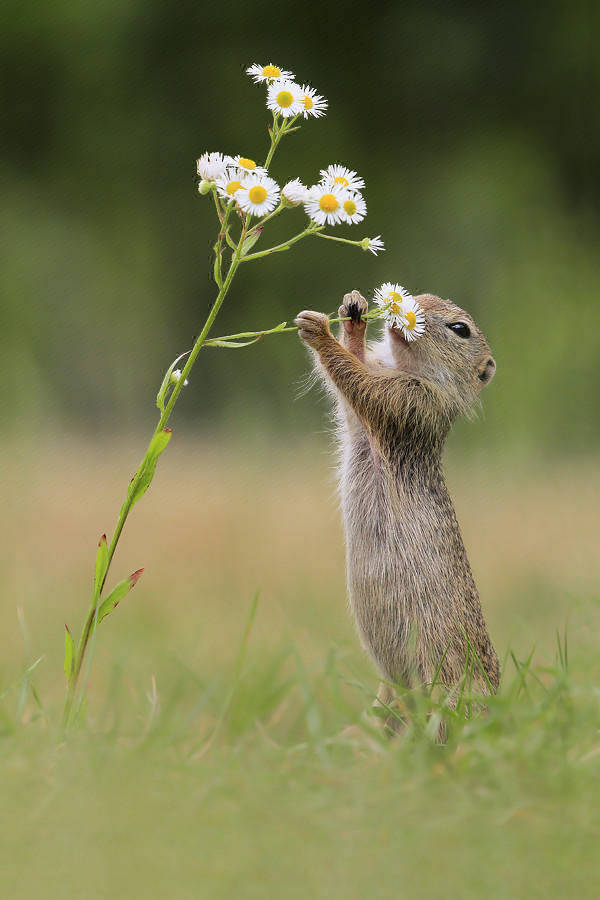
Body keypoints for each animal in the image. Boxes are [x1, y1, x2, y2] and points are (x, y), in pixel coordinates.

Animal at [296, 292, 502, 720]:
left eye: (460, 329)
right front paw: (353, 315)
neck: (412, 369)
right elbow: (352, 395)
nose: (413, 302)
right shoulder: (368, 418)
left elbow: (359, 383)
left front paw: (319, 331)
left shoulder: (410, 403)